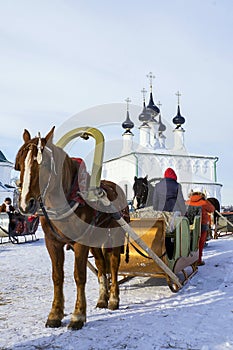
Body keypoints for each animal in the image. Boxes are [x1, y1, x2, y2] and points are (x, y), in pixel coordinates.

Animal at [15, 127, 129, 330]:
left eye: (44, 164)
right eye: (20, 165)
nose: (25, 204)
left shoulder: (80, 243)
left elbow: (79, 276)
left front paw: (78, 315)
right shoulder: (52, 242)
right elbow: (57, 276)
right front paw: (55, 314)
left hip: (115, 234)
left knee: (114, 265)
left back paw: (114, 299)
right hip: (95, 240)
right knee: (101, 265)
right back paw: (102, 298)